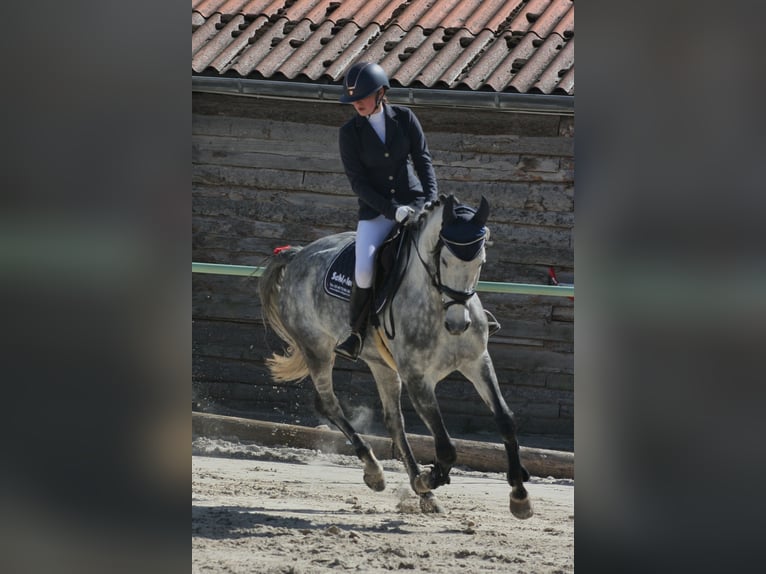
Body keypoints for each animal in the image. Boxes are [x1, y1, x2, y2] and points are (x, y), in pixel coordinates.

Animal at [258, 196, 536, 520]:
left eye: (480, 261)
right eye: (444, 261)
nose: (458, 325)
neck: (436, 305)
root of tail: (298, 255)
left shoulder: (477, 362)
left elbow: (505, 420)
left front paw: (519, 495)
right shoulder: (417, 377)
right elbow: (446, 446)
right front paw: (430, 477)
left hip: (381, 364)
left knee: (394, 421)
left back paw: (423, 494)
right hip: (317, 349)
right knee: (329, 404)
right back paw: (377, 472)